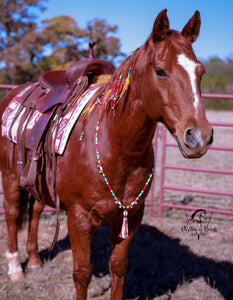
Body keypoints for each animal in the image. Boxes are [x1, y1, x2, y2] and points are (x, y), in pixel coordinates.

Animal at [0, 9, 213, 300]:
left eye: (200, 72)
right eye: (160, 71)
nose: (199, 137)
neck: (116, 147)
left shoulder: (130, 217)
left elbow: (118, 267)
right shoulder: (78, 219)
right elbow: (82, 273)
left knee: (34, 211)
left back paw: (32, 261)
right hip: (10, 177)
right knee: (12, 214)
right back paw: (14, 268)